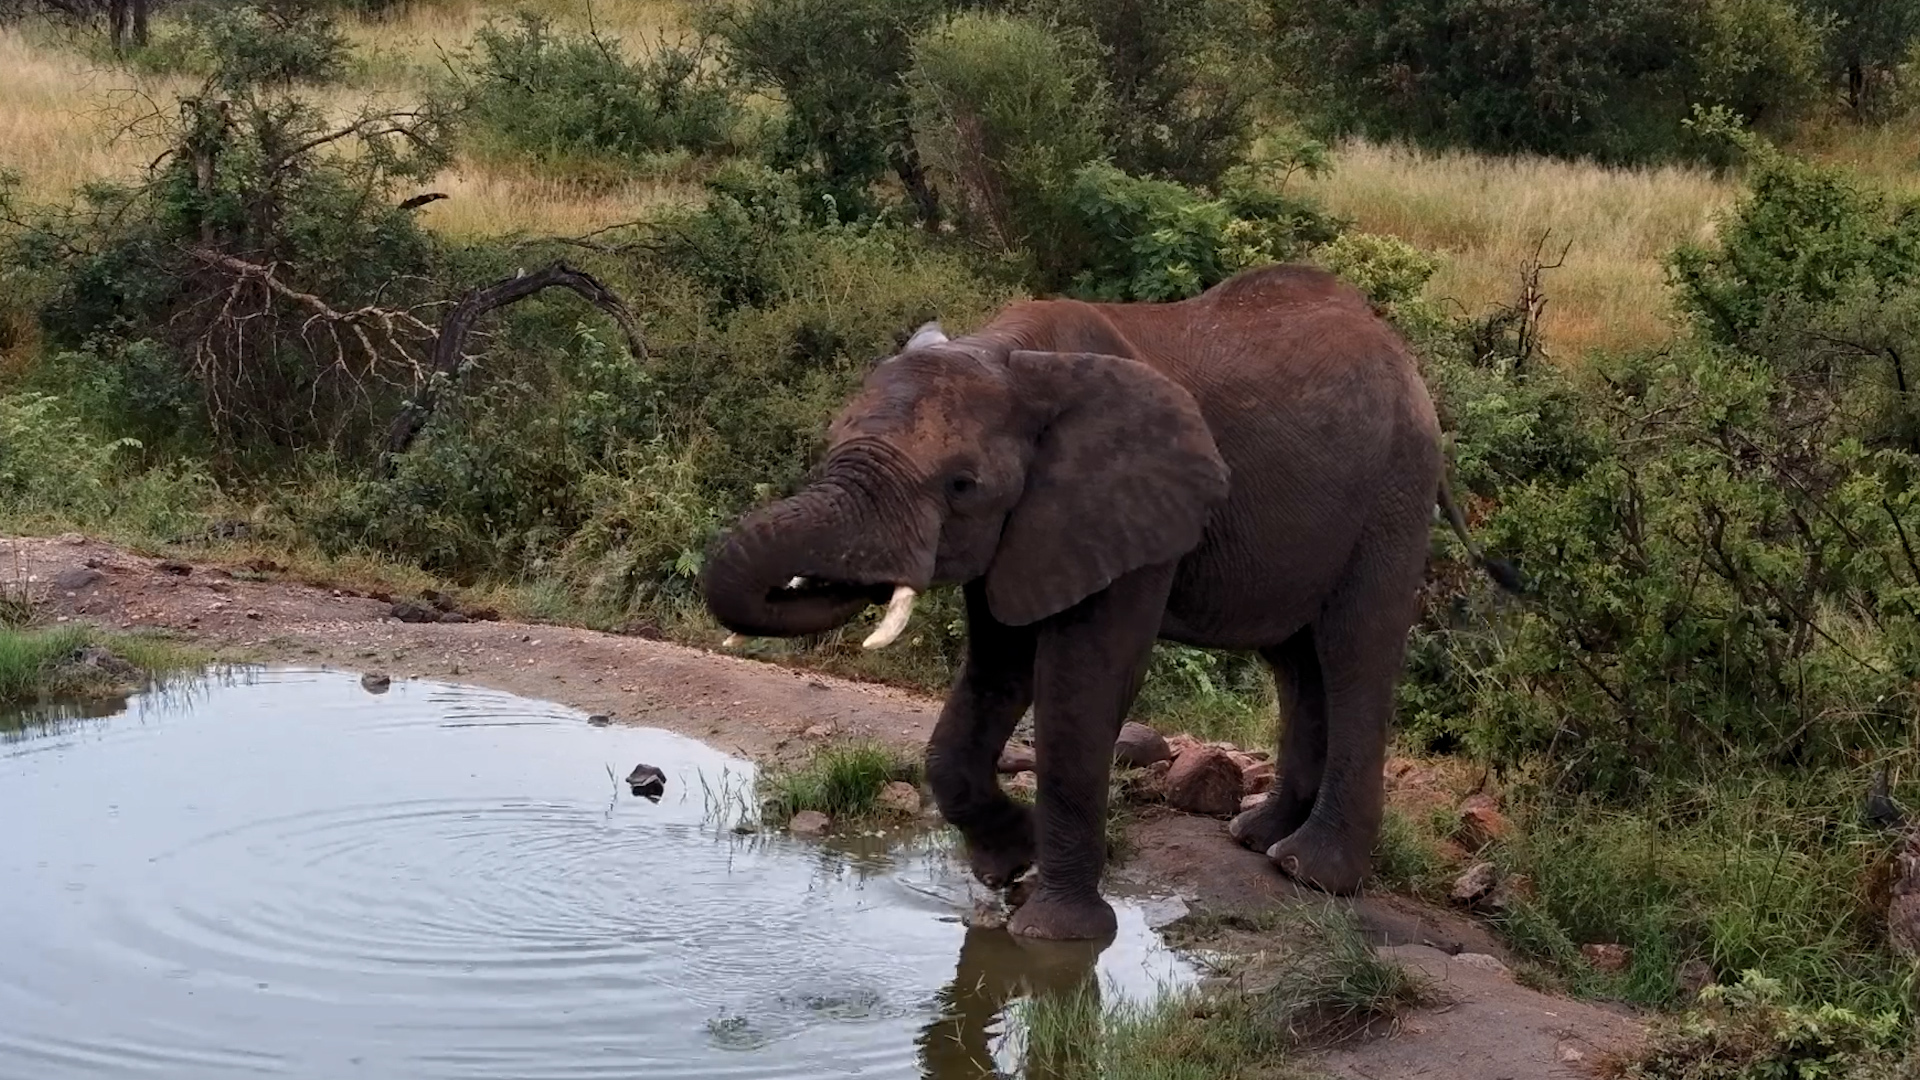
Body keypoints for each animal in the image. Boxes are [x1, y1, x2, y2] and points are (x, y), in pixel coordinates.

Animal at [701, 263, 1515, 941]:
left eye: (963, 485)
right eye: (830, 438)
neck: (1010, 353)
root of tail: (1403, 357)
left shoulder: (1128, 507)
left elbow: (1083, 683)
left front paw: (1052, 932)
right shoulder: (1031, 526)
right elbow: (997, 670)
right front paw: (1009, 866)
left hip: (1395, 489)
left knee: (1352, 652)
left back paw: (1310, 873)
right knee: (1294, 662)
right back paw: (1259, 840)